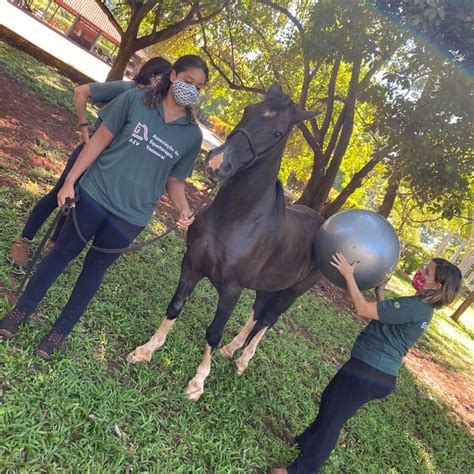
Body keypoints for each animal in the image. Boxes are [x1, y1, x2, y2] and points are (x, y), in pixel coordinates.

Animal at [128, 85, 324, 400]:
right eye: (248, 110)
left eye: (277, 133)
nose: (217, 163)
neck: (236, 220)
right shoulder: (191, 266)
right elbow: (175, 307)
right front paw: (146, 350)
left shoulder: (232, 290)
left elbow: (213, 332)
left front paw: (197, 383)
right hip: (267, 286)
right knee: (257, 314)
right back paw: (232, 350)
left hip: (292, 292)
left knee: (268, 321)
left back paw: (243, 361)